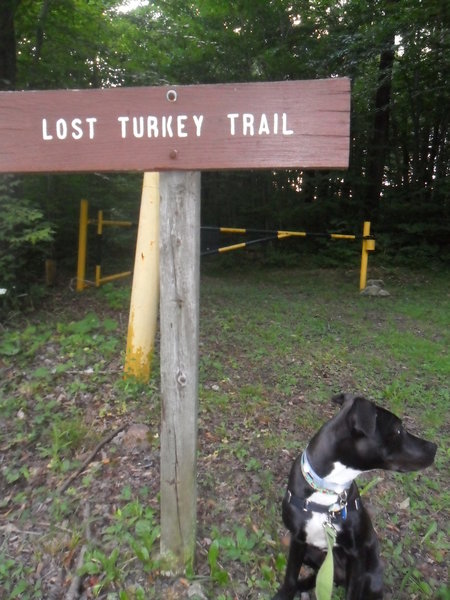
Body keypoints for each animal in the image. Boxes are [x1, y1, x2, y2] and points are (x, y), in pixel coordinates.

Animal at [272, 394, 438, 600]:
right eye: (398, 430)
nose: (434, 446)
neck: (328, 489)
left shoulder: (357, 554)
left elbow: (352, 592)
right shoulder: (297, 540)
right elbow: (290, 575)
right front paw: (285, 593)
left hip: (370, 577)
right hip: (311, 553)